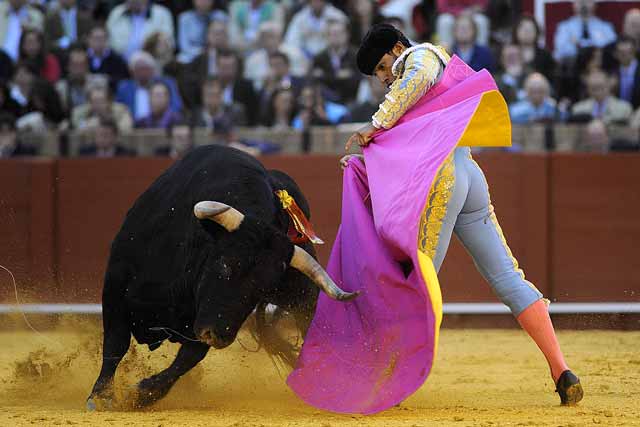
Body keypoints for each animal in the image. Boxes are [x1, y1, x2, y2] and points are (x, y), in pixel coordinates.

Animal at [85, 147, 356, 412]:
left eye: (263, 291)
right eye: (225, 264)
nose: (218, 336)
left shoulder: (208, 319)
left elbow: (188, 357)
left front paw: (143, 394)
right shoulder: (115, 284)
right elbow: (116, 342)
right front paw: (101, 397)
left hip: (303, 298)